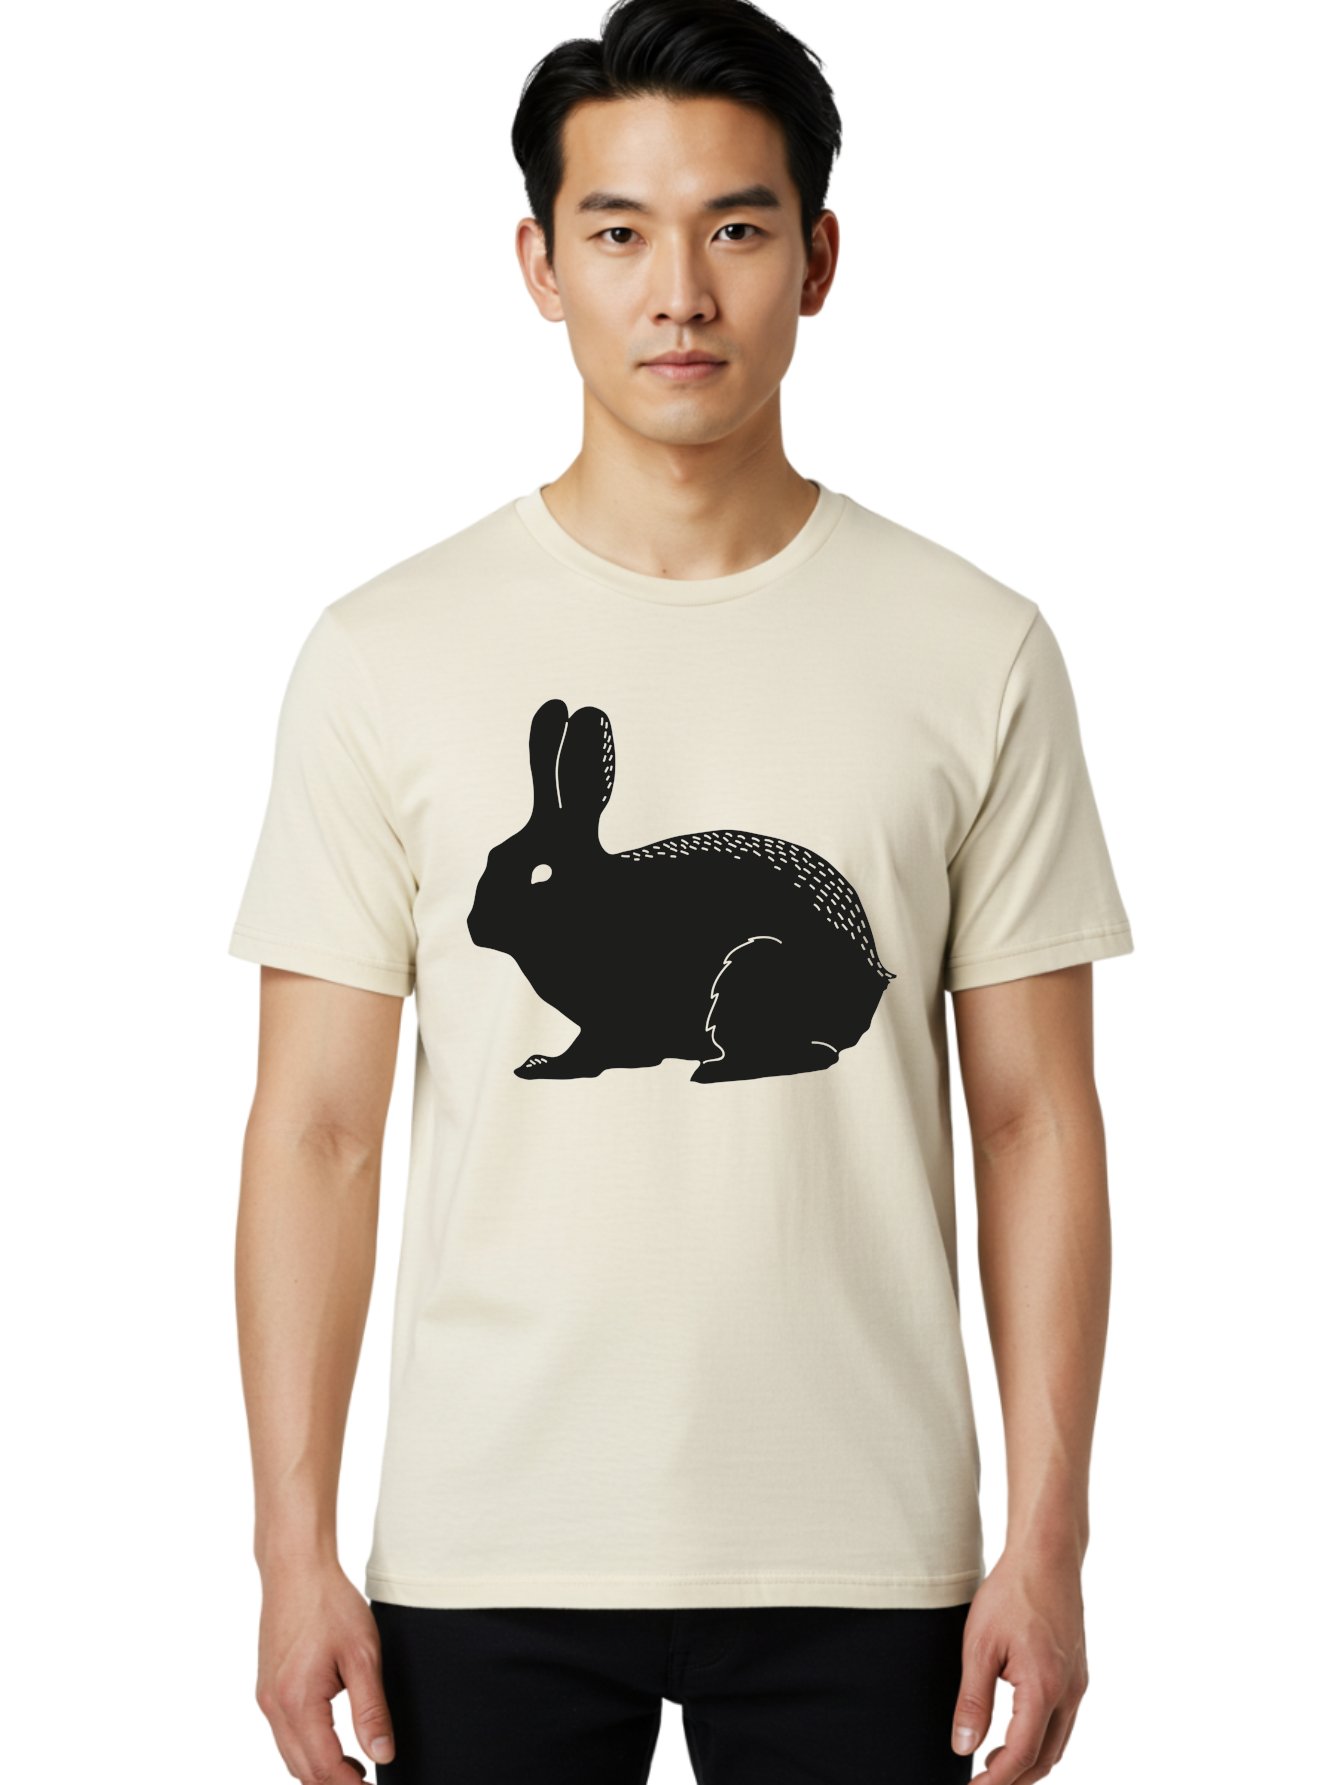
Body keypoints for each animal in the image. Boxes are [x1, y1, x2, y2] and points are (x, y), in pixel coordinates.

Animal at [466, 698, 896, 1083]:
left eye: (540, 874)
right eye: (491, 856)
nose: (474, 926)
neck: (590, 898)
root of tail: (875, 975)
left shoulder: (615, 1010)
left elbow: (592, 1049)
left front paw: (545, 1066)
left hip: (755, 973)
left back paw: (713, 1071)